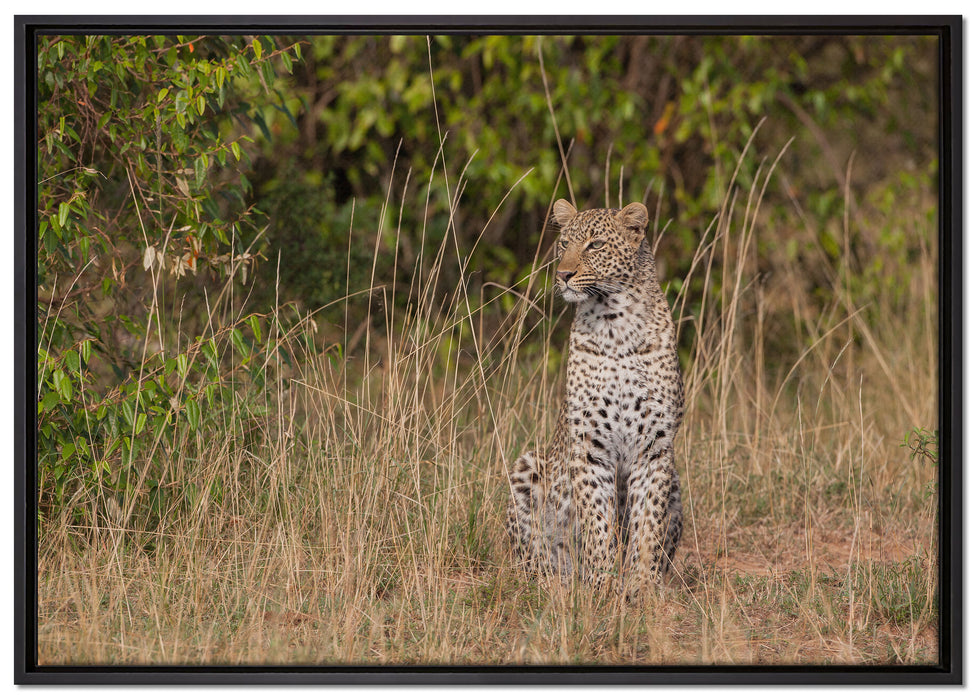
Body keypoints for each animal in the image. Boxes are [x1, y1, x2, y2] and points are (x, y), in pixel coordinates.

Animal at [505, 198, 684, 596]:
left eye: (596, 245)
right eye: (563, 244)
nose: (563, 274)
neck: (615, 324)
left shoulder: (655, 447)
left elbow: (648, 523)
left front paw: (642, 586)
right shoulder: (589, 445)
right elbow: (597, 520)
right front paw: (601, 585)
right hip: (527, 466)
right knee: (533, 556)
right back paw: (555, 583)